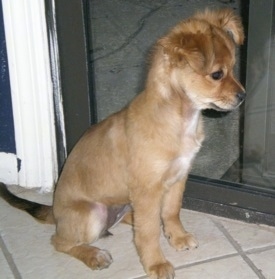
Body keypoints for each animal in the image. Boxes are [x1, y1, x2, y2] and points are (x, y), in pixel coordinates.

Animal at [0, 8, 246, 279]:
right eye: (217, 75)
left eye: (233, 68)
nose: (243, 96)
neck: (179, 119)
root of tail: (55, 213)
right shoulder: (148, 190)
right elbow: (148, 233)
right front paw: (156, 263)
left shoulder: (178, 178)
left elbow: (171, 212)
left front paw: (177, 236)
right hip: (92, 214)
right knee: (61, 242)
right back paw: (94, 255)